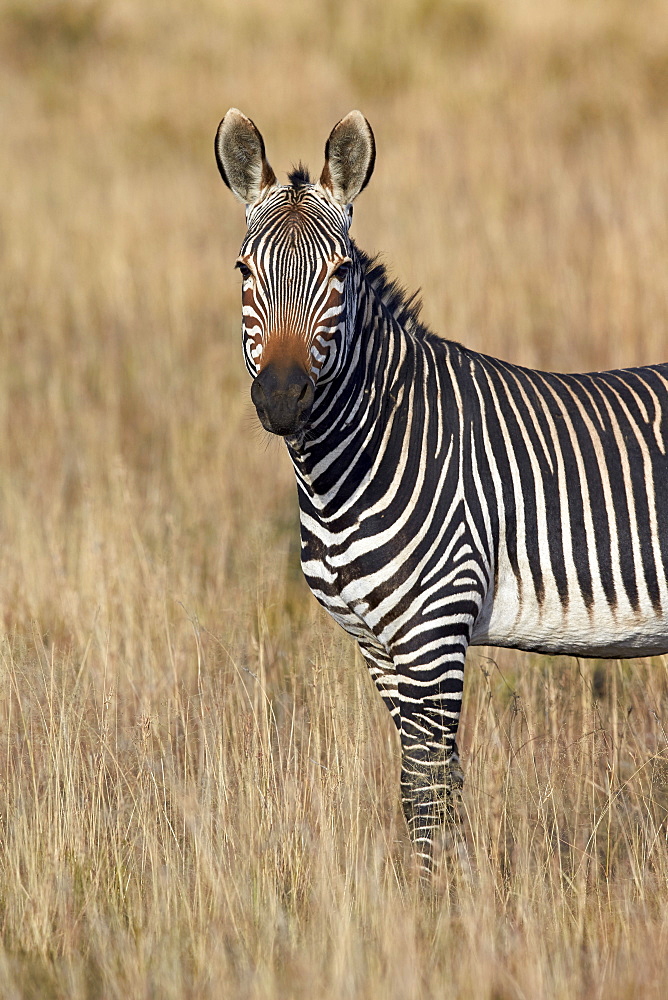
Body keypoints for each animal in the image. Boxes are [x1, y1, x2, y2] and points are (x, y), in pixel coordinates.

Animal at [213, 109, 668, 872]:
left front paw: (436, 901)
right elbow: (429, 786)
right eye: (245, 271)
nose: (281, 399)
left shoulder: (434, 632)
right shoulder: (380, 645)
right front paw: (451, 891)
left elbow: (426, 790)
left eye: (340, 273)